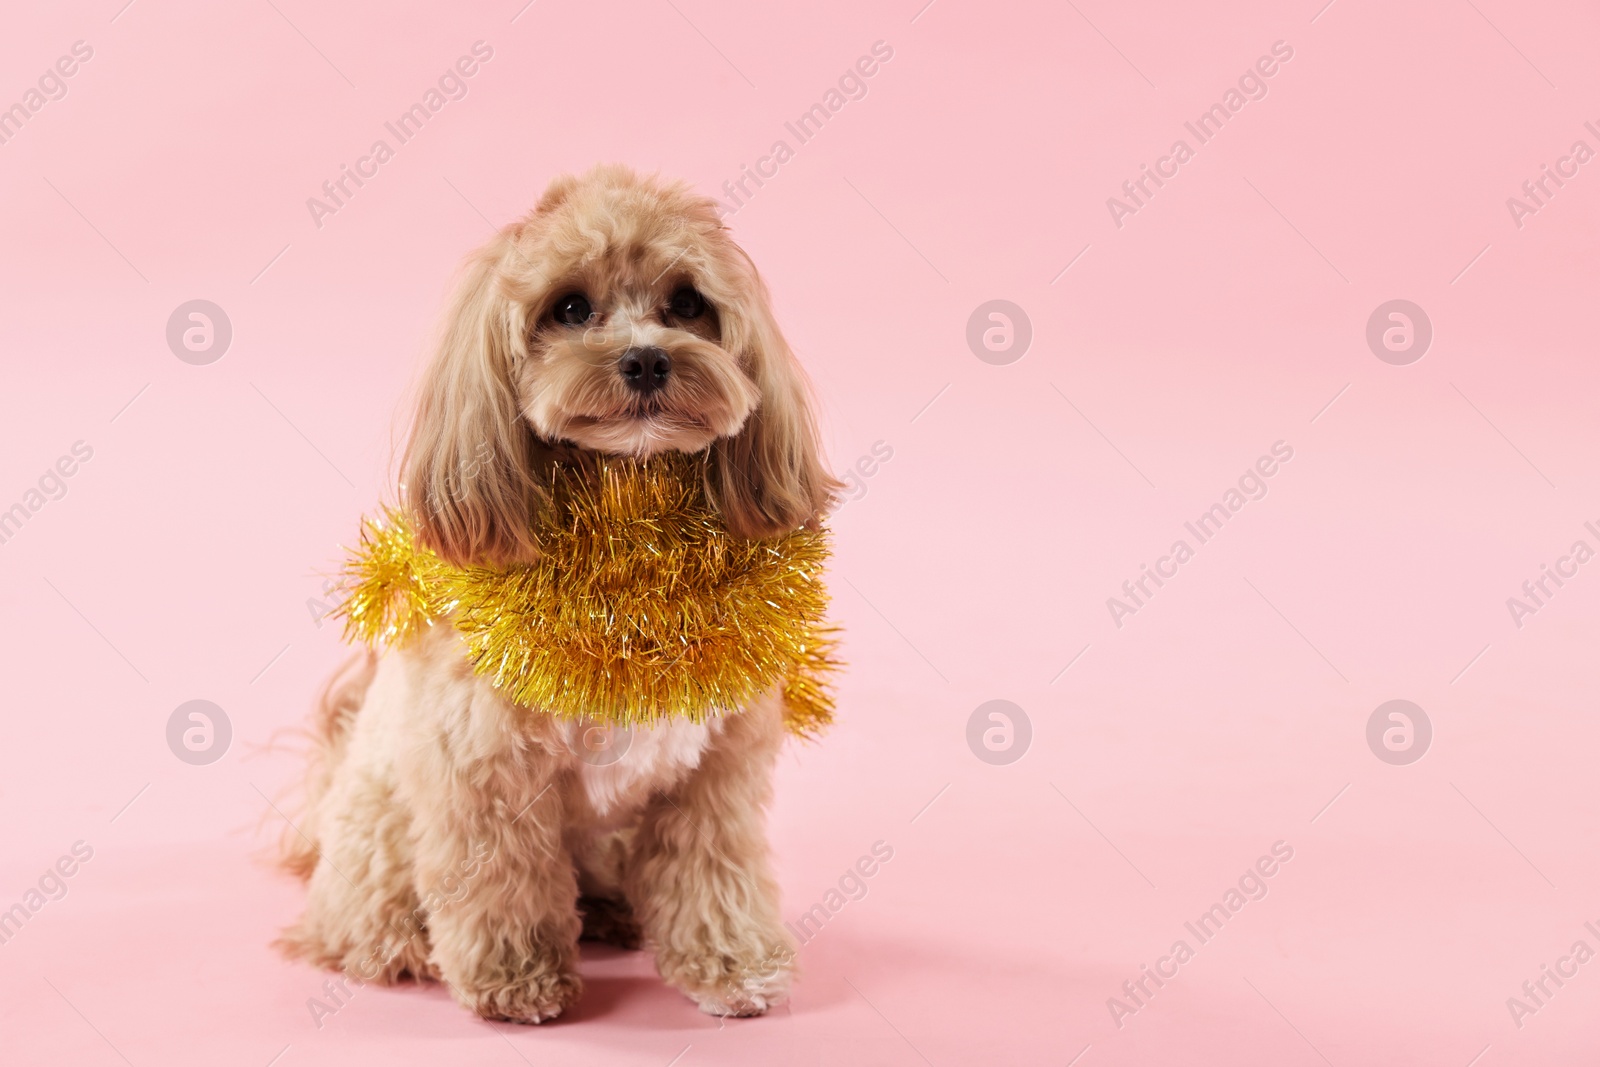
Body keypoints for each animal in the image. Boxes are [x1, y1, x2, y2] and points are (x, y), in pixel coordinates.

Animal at [278, 167, 838, 1023]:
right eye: (569, 308)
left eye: (686, 303)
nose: (645, 361)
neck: (628, 543)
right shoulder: (484, 766)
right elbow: (500, 879)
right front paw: (515, 977)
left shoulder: (717, 771)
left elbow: (713, 868)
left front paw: (730, 961)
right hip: (382, 822)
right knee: (367, 912)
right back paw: (396, 945)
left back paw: (612, 910)